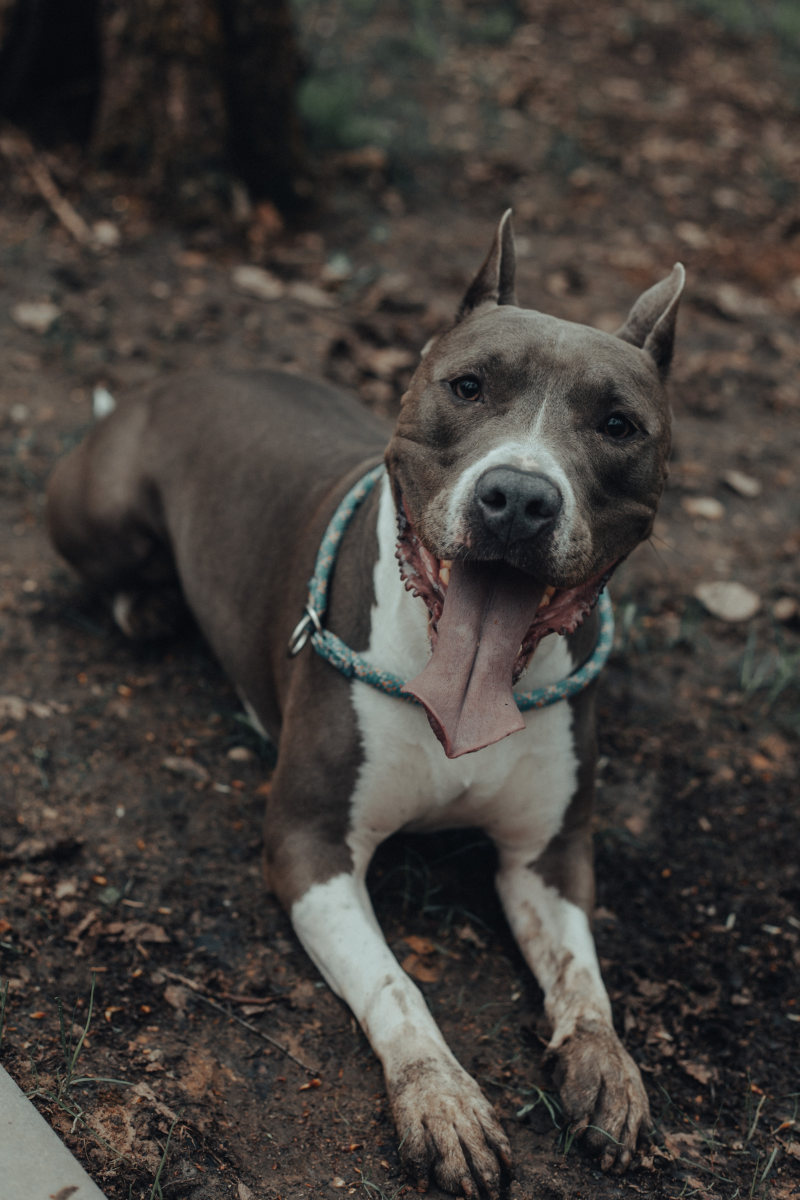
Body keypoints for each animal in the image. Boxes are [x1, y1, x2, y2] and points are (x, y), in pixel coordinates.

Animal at [47, 218, 681, 1200]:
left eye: (618, 425)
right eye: (468, 386)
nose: (519, 498)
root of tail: (164, 385)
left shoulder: (546, 857)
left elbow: (582, 974)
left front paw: (605, 1064)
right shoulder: (310, 848)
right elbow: (395, 985)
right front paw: (442, 1099)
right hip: (106, 512)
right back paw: (146, 606)